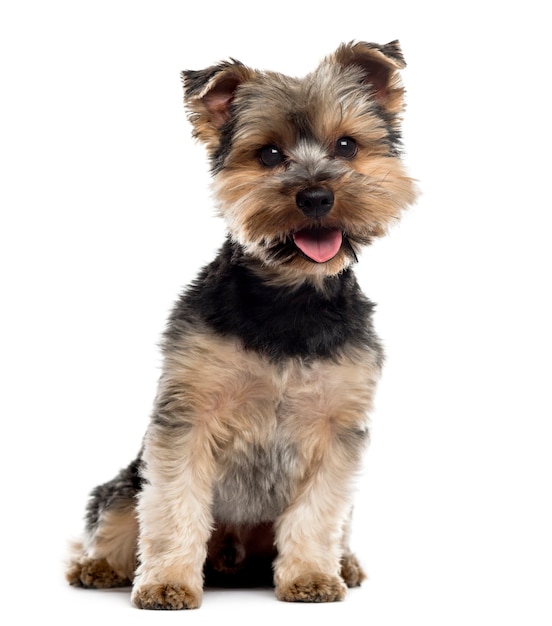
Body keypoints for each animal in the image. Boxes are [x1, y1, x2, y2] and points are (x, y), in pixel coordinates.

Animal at [66, 39, 414, 604]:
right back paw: (99, 566)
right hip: (126, 480)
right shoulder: (188, 415)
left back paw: (344, 562)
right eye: (269, 154)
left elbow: (319, 512)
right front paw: (166, 582)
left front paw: (312, 576)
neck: (291, 298)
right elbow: (173, 504)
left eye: (346, 146)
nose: (315, 196)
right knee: (116, 512)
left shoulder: (337, 427)